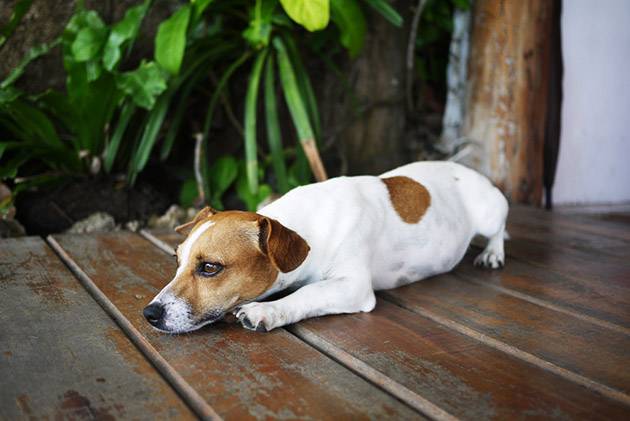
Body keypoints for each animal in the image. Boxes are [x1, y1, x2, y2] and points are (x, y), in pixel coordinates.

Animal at [143, 160, 508, 332]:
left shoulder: (353, 286)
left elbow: (308, 293)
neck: (306, 231)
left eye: (210, 267)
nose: (150, 313)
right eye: (176, 260)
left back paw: (493, 252)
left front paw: (266, 311)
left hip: (490, 212)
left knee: (500, 226)